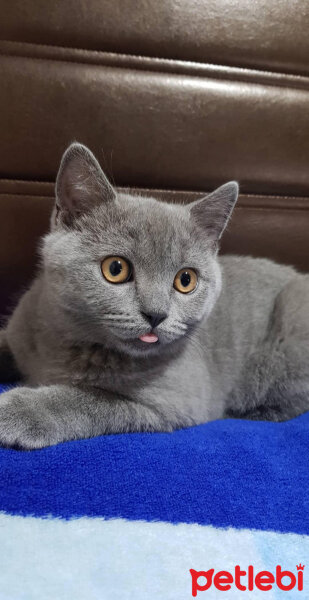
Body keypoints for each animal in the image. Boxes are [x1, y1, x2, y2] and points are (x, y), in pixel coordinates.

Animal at [0, 143, 308, 448]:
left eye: (186, 280)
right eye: (115, 268)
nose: (156, 314)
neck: (66, 346)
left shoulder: (173, 400)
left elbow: (89, 398)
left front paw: (15, 412)